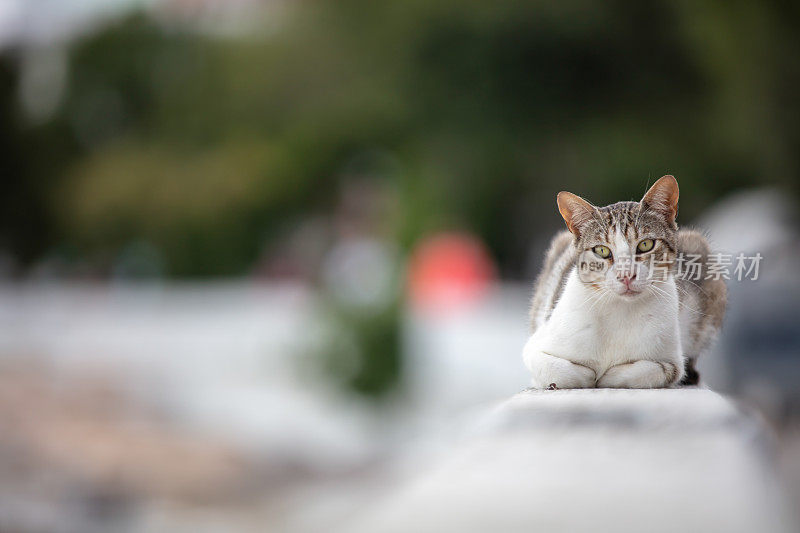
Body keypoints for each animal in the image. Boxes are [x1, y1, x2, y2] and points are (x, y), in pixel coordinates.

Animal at [520, 177, 728, 388]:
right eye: (601, 250)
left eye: (645, 245)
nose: (626, 275)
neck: (619, 310)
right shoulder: (535, 347)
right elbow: (560, 371)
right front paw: (586, 375)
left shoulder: (673, 361)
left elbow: (652, 371)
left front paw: (607, 376)